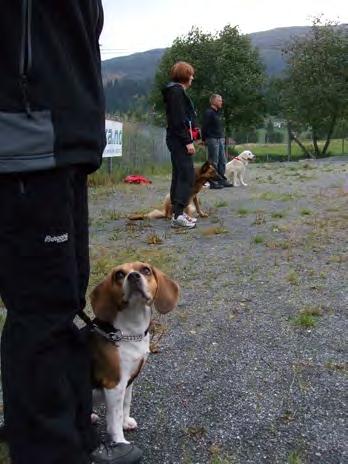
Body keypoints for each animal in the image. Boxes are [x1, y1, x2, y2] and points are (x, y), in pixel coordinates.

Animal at [88, 262, 181, 444]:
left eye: (146, 270)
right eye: (119, 275)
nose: (133, 276)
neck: (129, 331)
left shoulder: (129, 380)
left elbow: (126, 404)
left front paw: (126, 422)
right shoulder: (114, 384)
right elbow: (115, 418)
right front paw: (120, 442)